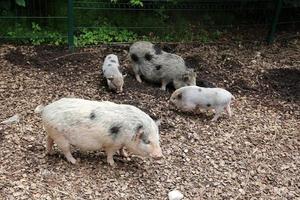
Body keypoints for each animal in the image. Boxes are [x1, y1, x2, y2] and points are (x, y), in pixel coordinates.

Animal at [34, 98, 164, 166]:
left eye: (158, 139)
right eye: (147, 141)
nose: (160, 156)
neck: (129, 131)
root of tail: (46, 109)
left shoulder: (120, 143)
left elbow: (121, 149)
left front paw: (126, 156)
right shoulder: (112, 144)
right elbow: (110, 153)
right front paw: (113, 164)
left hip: (52, 132)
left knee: (48, 140)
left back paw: (50, 153)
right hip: (61, 137)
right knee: (65, 150)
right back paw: (75, 161)